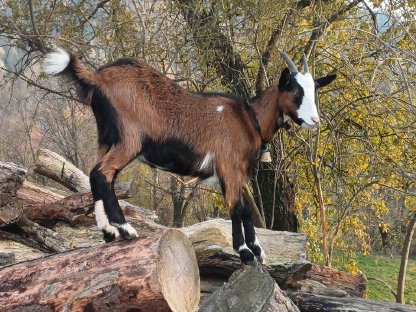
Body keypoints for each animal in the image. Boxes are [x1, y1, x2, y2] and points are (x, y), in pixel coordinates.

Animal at [41, 48, 334, 264]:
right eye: (294, 90)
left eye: (315, 90)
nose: (314, 120)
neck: (249, 119)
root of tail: (97, 78)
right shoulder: (229, 165)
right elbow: (237, 208)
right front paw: (244, 252)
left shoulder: (239, 171)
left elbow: (247, 209)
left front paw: (258, 250)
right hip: (129, 139)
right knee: (102, 173)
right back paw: (125, 229)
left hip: (106, 137)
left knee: (97, 175)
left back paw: (109, 231)